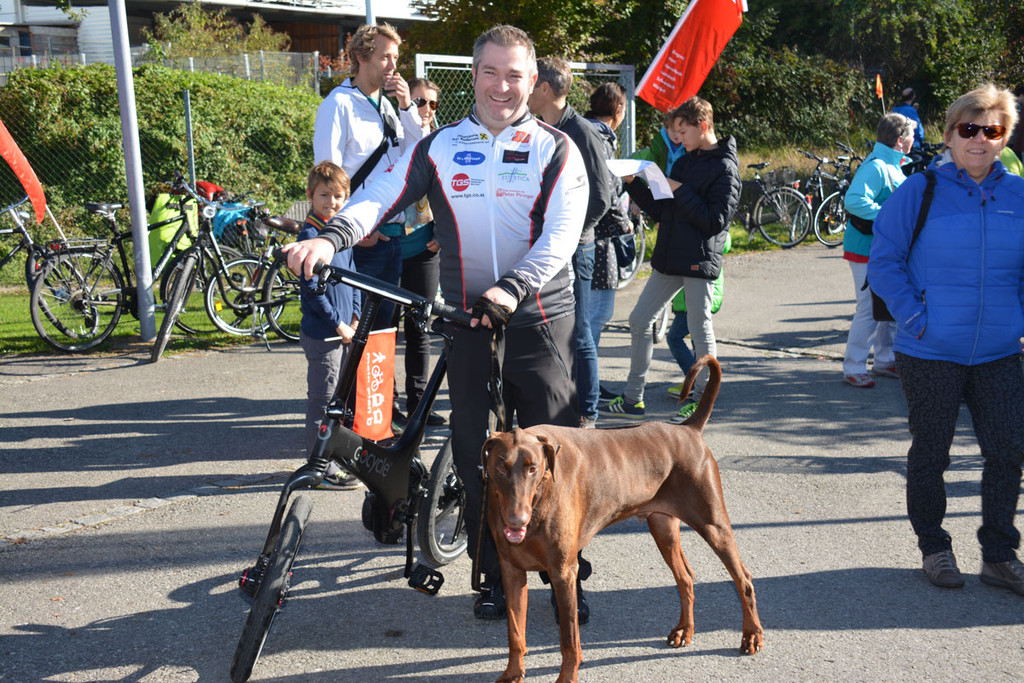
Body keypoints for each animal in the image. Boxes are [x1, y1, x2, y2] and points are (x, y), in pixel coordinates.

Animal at [481, 355, 763, 683]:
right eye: (501, 467)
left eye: (532, 467)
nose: (516, 521)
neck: (540, 497)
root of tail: (689, 430)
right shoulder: (511, 569)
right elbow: (515, 632)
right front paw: (513, 673)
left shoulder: (563, 571)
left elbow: (568, 640)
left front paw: (566, 677)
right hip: (662, 525)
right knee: (685, 577)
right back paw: (684, 630)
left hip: (712, 522)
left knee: (743, 578)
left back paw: (752, 635)